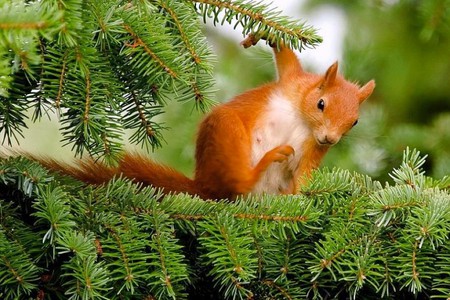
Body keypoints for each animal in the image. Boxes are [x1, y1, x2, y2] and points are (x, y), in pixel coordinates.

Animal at [26, 41, 374, 200]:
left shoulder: (312, 152)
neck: (303, 121)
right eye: (321, 103)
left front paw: (306, 199)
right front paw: (266, 35)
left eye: (355, 123)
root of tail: (203, 187)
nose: (330, 139)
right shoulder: (292, 82)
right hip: (226, 130)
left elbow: (304, 181)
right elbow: (287, 58)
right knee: (236, 182)